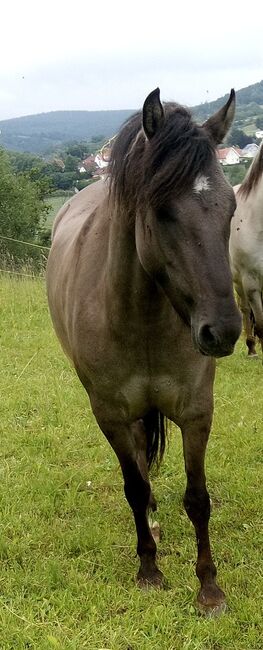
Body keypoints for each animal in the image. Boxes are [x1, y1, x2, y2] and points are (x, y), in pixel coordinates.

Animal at [47, 90, 241, 612]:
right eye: (161, 211)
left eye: (231, 207)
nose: (223, 331)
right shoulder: (110, 413)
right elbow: (134, 487)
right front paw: (149, 570)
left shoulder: (197, 412)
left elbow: (198, 498)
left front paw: (209, 587)